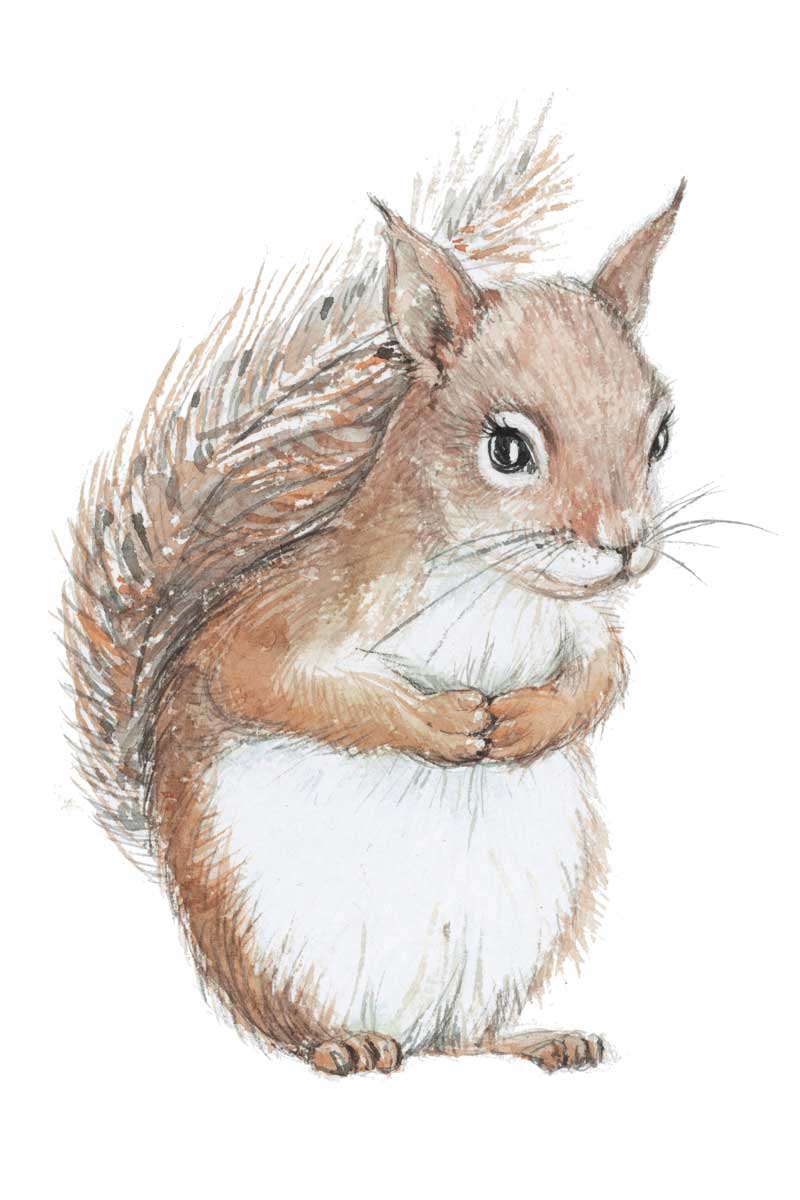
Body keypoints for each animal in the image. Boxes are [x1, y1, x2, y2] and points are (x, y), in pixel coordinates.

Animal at [63, 115, 685, 1076]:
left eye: (660, 435)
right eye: (507, 449)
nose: (622, 546)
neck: (498, 584)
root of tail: (410, 1029)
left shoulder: (581, 624)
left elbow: (606, 673)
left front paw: (532, 720)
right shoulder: (284, 614)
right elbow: (263, 681)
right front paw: (439, 721)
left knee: (465, 1034)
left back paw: (539, 1037)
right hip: (267, 940)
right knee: (291, 1025)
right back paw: (344, 1043)